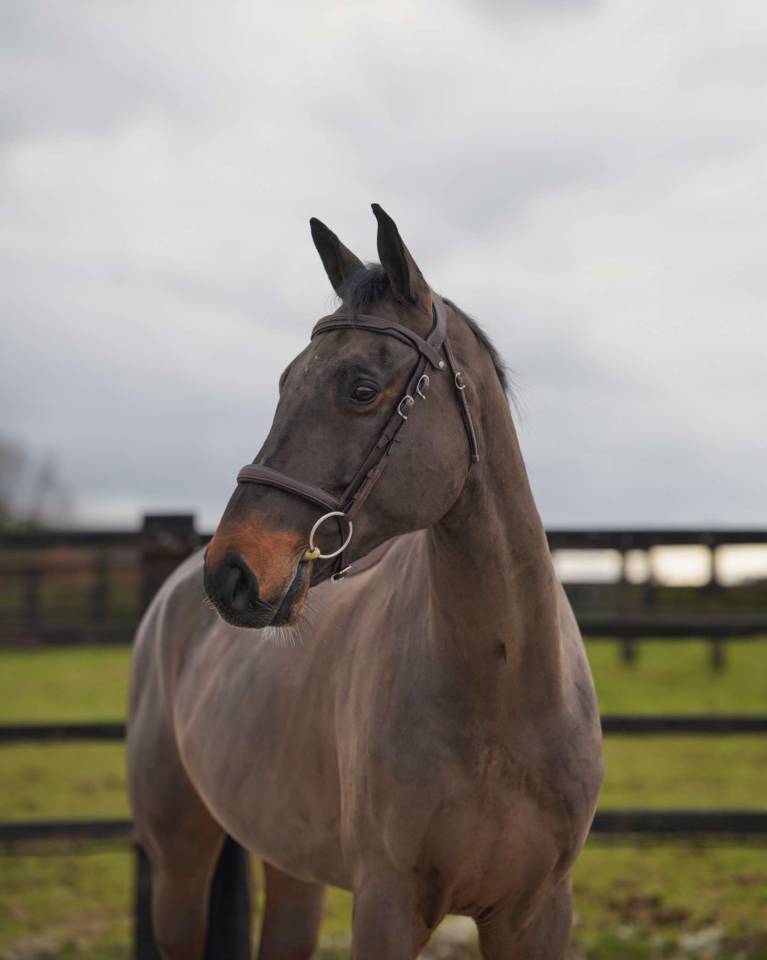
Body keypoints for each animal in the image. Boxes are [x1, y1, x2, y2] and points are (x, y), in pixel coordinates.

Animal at [126, 204, 603, 959]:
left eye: (359, 388)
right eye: (285, 383)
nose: (232, 571)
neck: (503, 695)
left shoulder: (537, 913)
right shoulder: (386, 906)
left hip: (291, 869)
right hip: (180, 866)